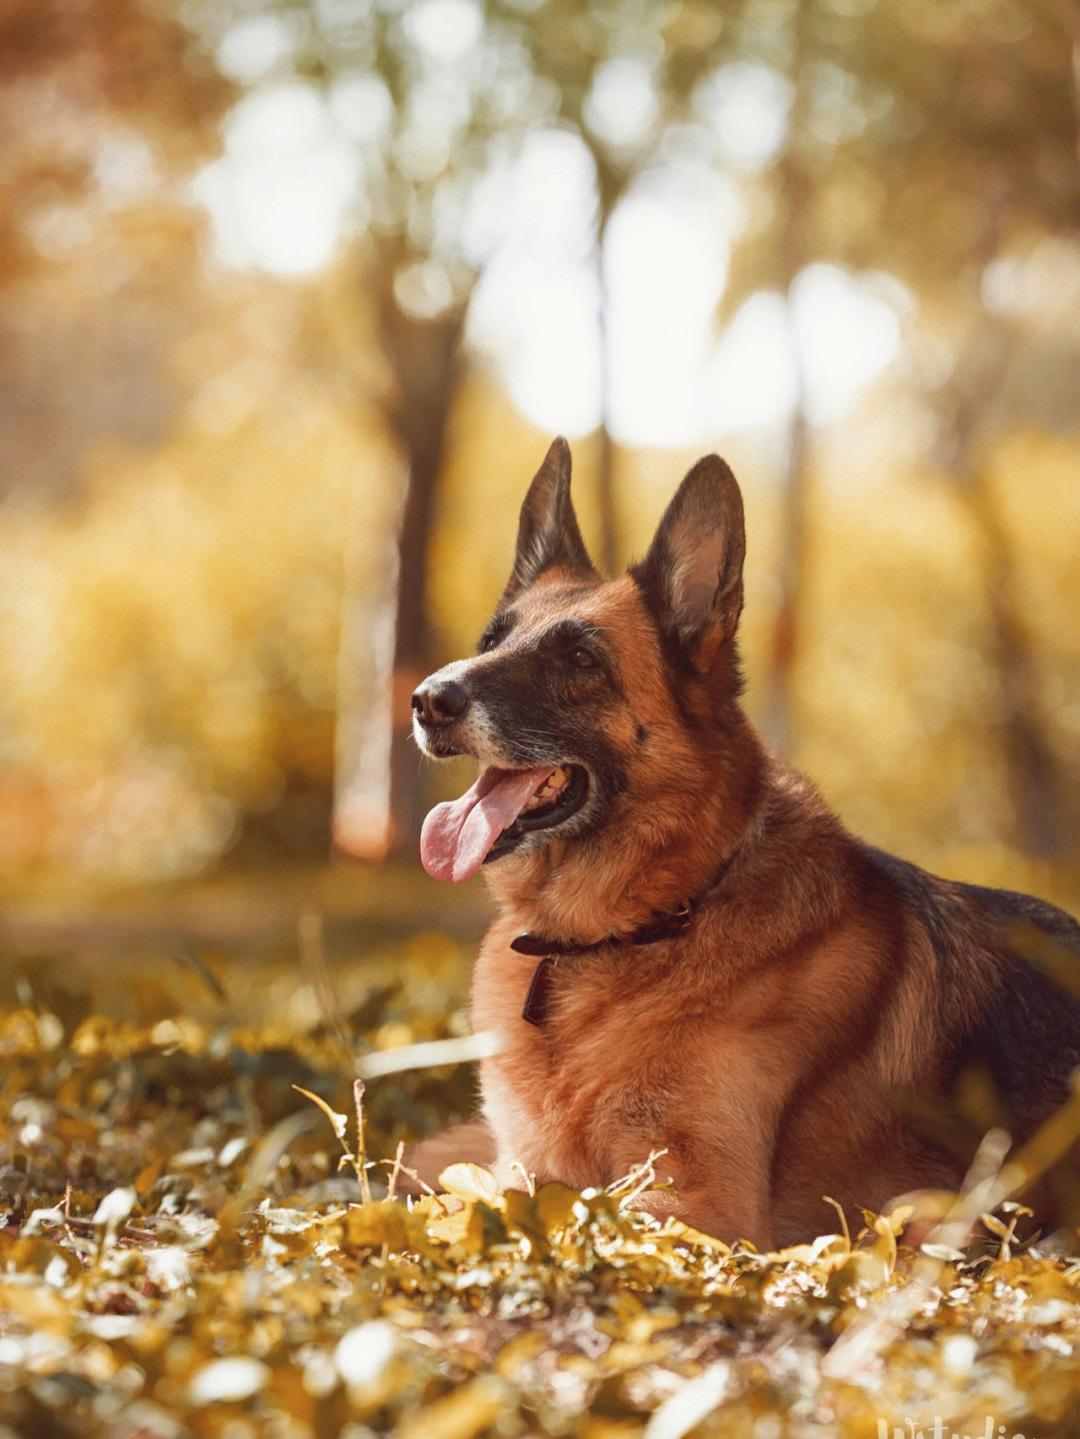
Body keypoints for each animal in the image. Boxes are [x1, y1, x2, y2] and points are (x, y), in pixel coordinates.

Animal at [408, 440, 1080, 1249]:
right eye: (489, 641)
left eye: (580, 662)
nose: (427, 700)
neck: (628, 931)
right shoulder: (520, 1158)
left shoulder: (697, 1200)